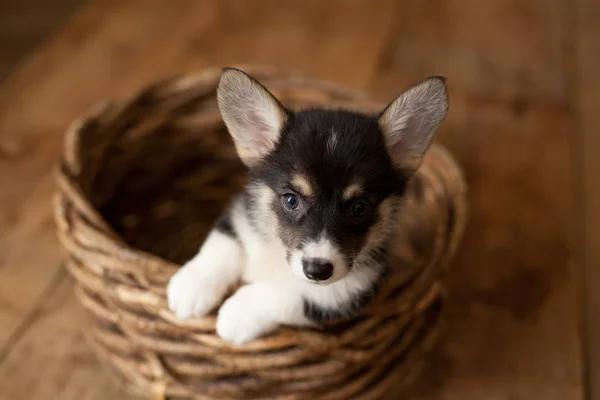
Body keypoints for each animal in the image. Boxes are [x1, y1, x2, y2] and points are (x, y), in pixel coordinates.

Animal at [164, 68, 446, 344]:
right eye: (291, 200)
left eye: (359, 208)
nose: (318, 270)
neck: (279, 256)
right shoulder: (240, 215)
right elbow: (224, 244)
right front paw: (193, 286)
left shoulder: (349, 292)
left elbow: (292, 297)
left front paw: (238, 314)